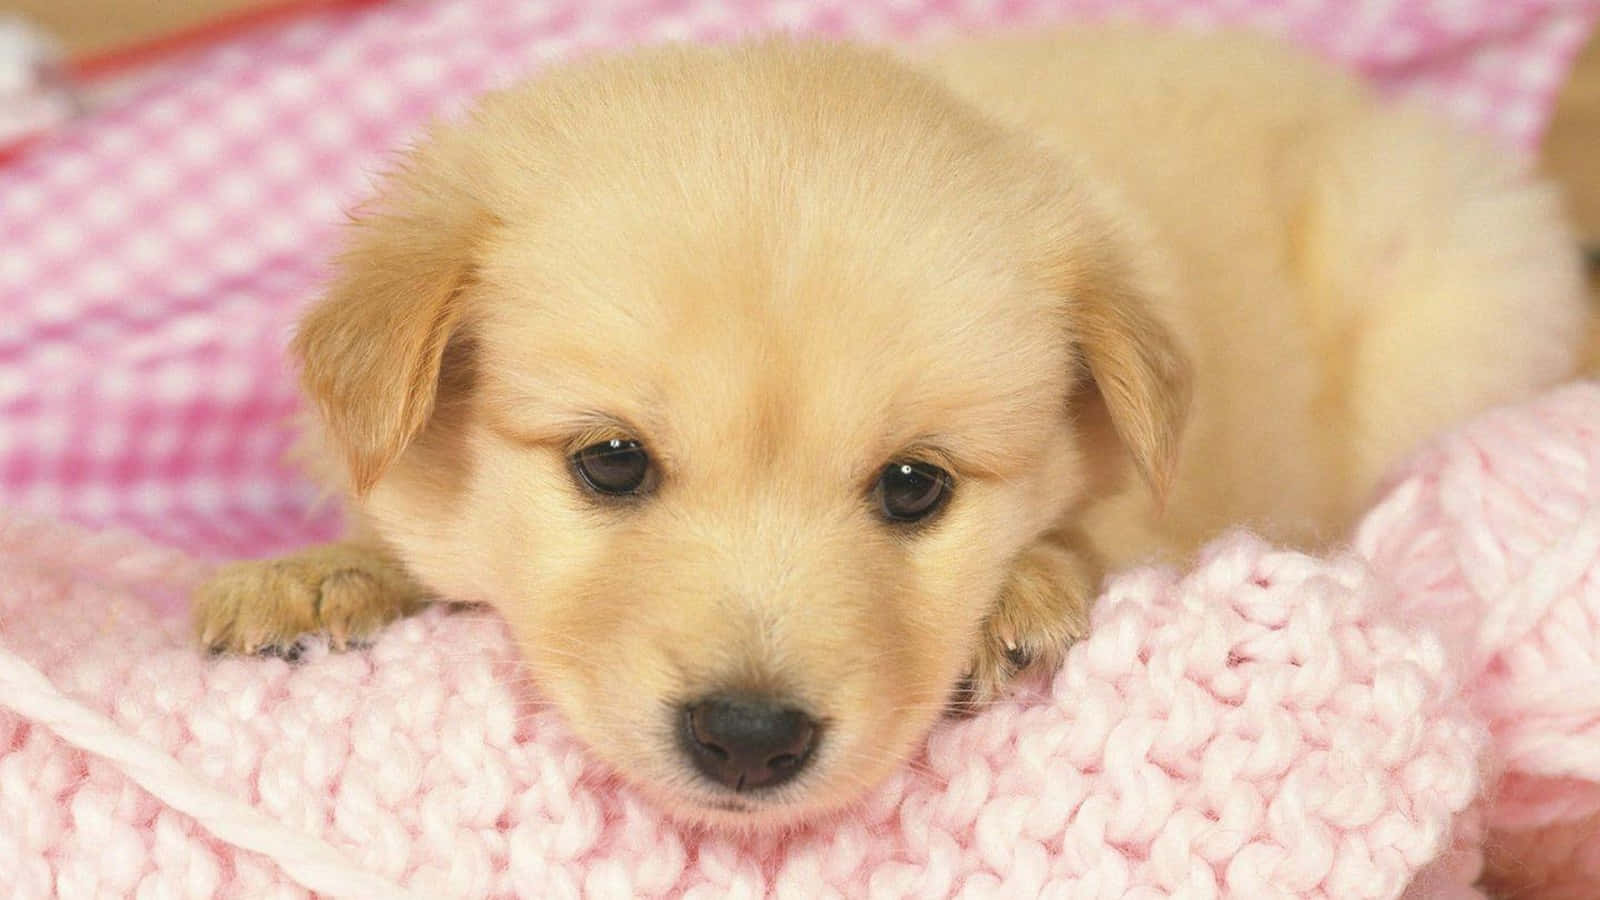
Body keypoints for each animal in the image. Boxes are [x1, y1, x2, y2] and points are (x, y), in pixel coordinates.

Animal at [190, 26, 1587, 826]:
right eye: (611, 464)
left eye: (915, 488)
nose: (749, 742)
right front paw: (316, 577)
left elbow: (1096, 535)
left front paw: (1023, 587)